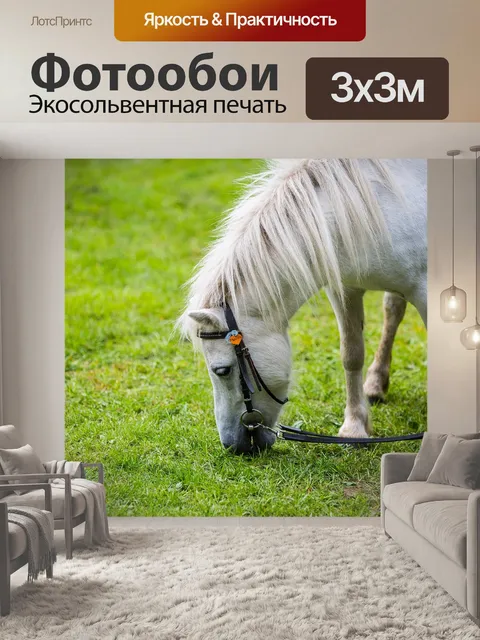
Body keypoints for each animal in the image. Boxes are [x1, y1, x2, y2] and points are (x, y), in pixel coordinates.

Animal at [179, 159, 427, 454]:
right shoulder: (344, 288)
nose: (232, 445)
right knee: (393, 309)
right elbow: (351, 354)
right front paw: (354, 427)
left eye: (222, 371)